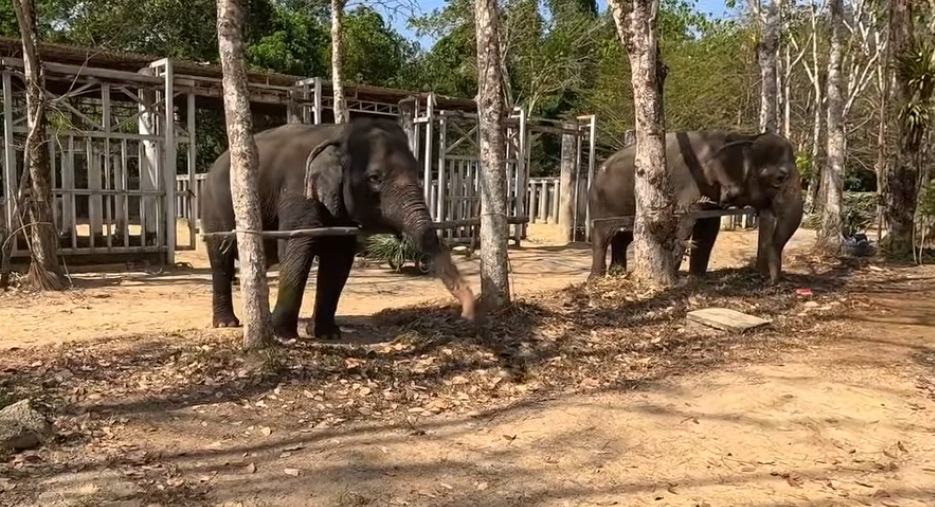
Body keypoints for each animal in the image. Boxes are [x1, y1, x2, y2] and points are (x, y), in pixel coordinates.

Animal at [200, 118, 476, 340]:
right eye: (375, 178)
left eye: (419, 173)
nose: (468, 311)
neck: (339, 132)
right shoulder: (298, 190)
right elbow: (296, 248)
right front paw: (284, 336)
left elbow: (338, 258)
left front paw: (327, 334)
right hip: (213, 206)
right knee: (221, 259)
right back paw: (226, 323)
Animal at [588, 130, 804, 283]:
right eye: (780, 178)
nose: (771, 282)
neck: (743, 137)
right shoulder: (690, 182)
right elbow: (684, 224)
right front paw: (674, 279)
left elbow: (709, 228)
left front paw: (697, 278)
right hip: (601, 201)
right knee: (602, 235)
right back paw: (596, 278)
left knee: (623, 238)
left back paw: (617, 273)